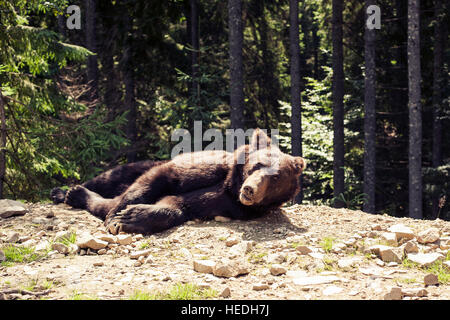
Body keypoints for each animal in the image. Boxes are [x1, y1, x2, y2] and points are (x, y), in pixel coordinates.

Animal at [52, 129, 306, 235]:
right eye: (256, 165)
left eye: (275, 178)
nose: (250, 189)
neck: (230, 186)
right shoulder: (204, 168)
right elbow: (157, 181)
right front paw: (118, 217)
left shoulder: (228, 205)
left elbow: (177, 205)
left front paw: (131, 217)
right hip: (138, 165)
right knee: (113, 178)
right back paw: (66, 191)